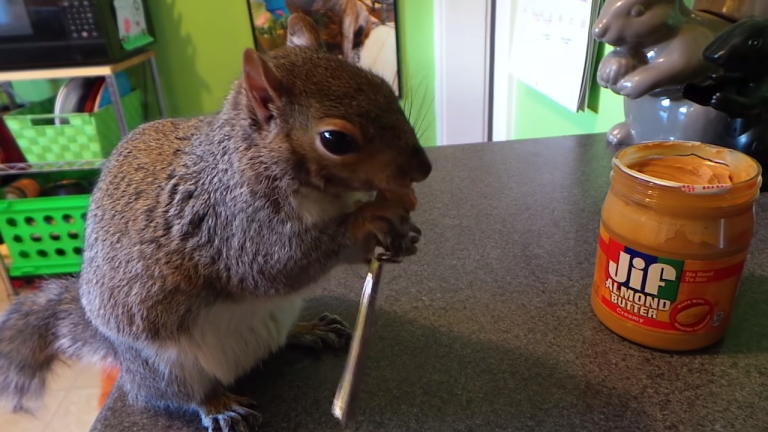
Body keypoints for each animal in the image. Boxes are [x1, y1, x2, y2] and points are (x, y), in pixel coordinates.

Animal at [0, 13, 432, 432]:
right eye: (335, 140)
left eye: (381, 84)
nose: (424, 169)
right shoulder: (227, 223)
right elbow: (276, 264)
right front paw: (370, 220)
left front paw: (404, 233)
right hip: (167, 366)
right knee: (181, 394)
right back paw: (219, 405)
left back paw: (308, 330)